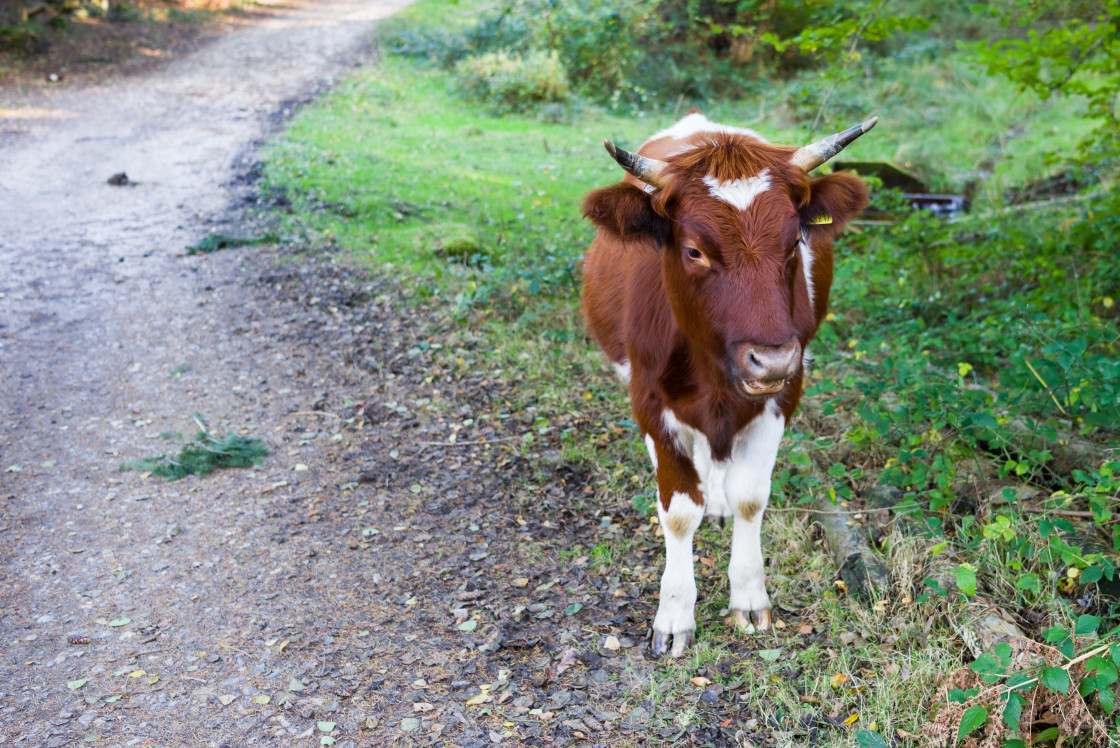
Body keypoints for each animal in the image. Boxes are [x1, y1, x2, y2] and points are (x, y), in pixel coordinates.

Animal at [582, 110, 878, 653]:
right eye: (694, 251)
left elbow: (750, 497)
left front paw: (749, 595)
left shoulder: (783, 397)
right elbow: (679, 511)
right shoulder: (649, 401)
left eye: (795, 242)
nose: (773, 359)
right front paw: (675, 614)